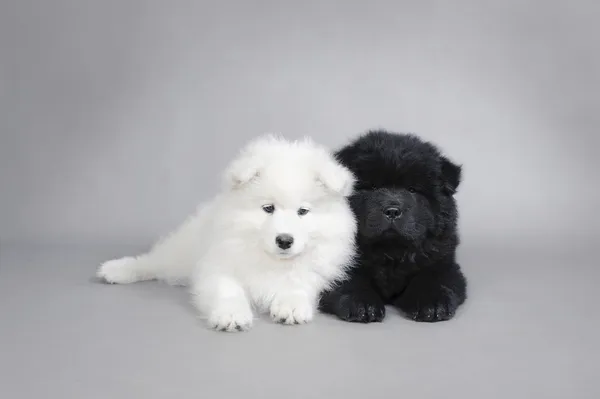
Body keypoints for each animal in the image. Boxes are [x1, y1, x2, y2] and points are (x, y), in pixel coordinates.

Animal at [95, 134, 354, 332]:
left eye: (303, 211)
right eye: (268, 208)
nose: (284, 240)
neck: (269, 260)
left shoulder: (317, 269)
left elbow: (298, 281)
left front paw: (290, 305)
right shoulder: (218, 263)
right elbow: (227, 289)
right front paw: (232, 315)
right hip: (180, 253)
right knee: (153, 261)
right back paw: (117, 270)